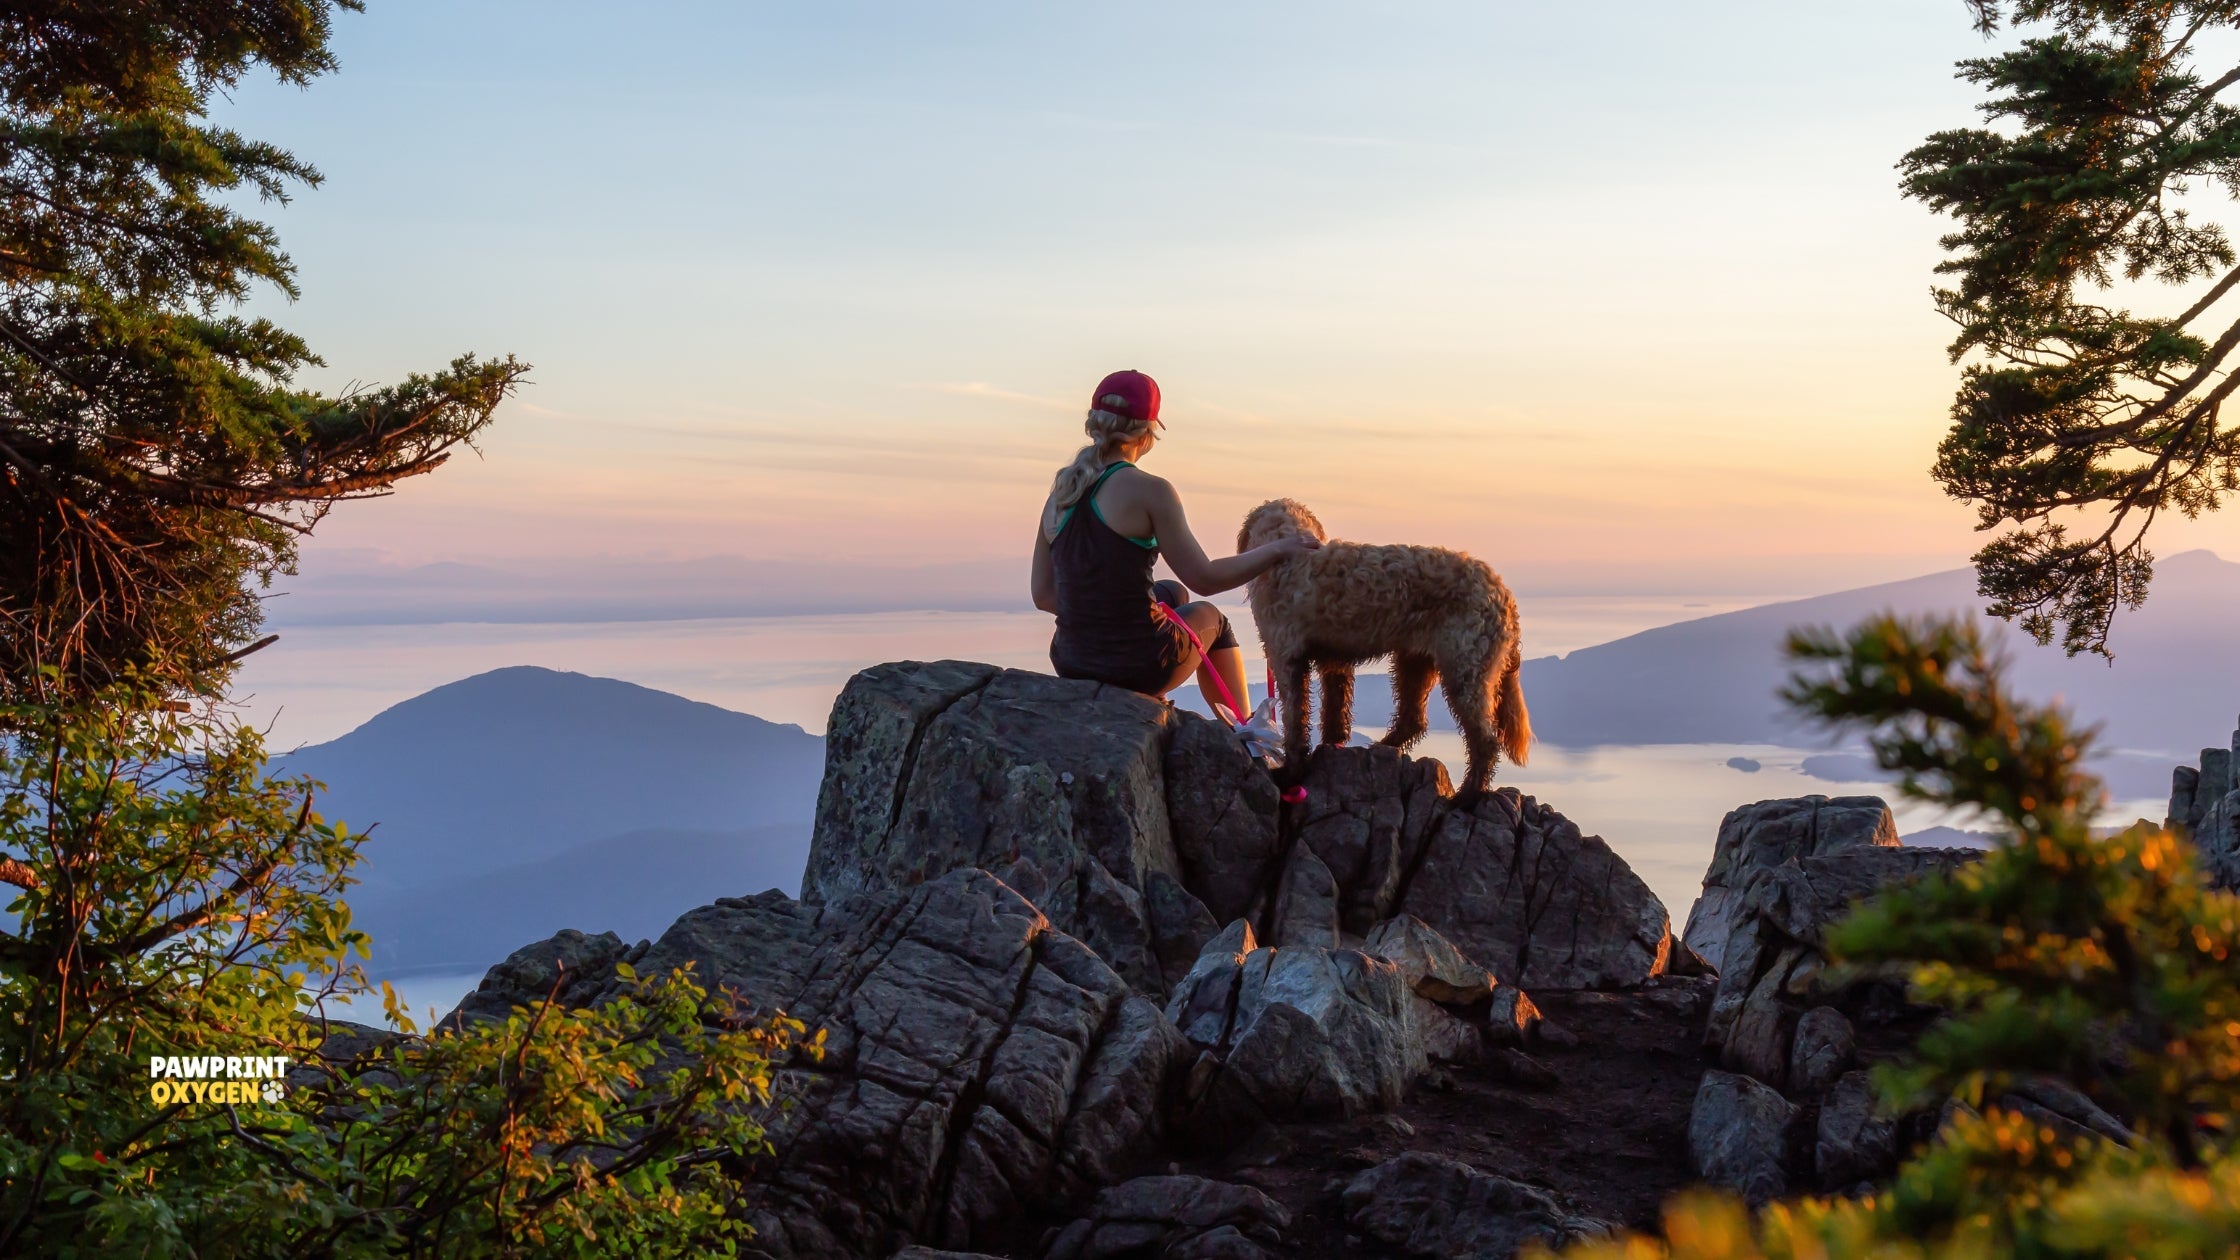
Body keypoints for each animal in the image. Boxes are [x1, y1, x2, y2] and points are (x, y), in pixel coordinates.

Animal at [1236, 497, 1532, 793]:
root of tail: (1503, 594)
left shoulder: (1286, 659)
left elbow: (1294, 719)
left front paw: (1292, 772)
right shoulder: (1335, 661)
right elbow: (1334, 709)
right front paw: (1330, 744)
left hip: (1464, 670)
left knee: (1485, 740)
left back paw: (1468, 793)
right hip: (1414, 659)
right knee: (1413, 718)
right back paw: (1383, 746)